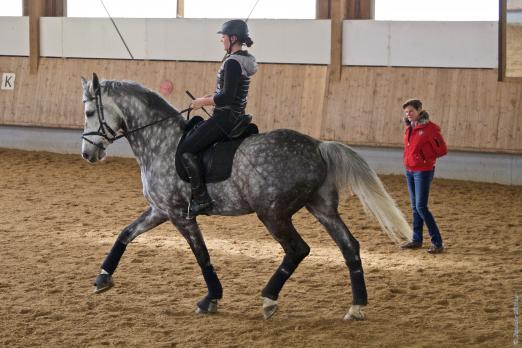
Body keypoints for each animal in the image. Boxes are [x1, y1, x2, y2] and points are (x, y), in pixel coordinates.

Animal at [80, 74, 410, 320]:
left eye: (89, 112)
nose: (87, 154)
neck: (160, 141)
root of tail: (318, 145)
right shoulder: (159, 210)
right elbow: (125, 234)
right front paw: (102, 278)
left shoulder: (178, 215)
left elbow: (202, 254)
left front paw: (211, 299)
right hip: (321, 208)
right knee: (349, 246)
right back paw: (356, 306)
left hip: (273, 213)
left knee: (297, 249)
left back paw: (269, 299)